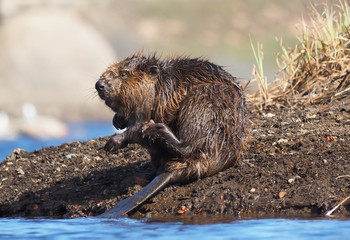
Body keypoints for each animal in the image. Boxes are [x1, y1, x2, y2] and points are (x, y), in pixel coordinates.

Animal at [94, 52, 245, 218]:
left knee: (188, 146)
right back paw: (132, 179)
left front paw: (112, 142)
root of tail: (173, 171)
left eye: (123, 74)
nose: (99, 85)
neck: (159, 85)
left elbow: (137, 128)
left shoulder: (149, 102)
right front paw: (118, 120)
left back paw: (157, 129)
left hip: (205, 99)